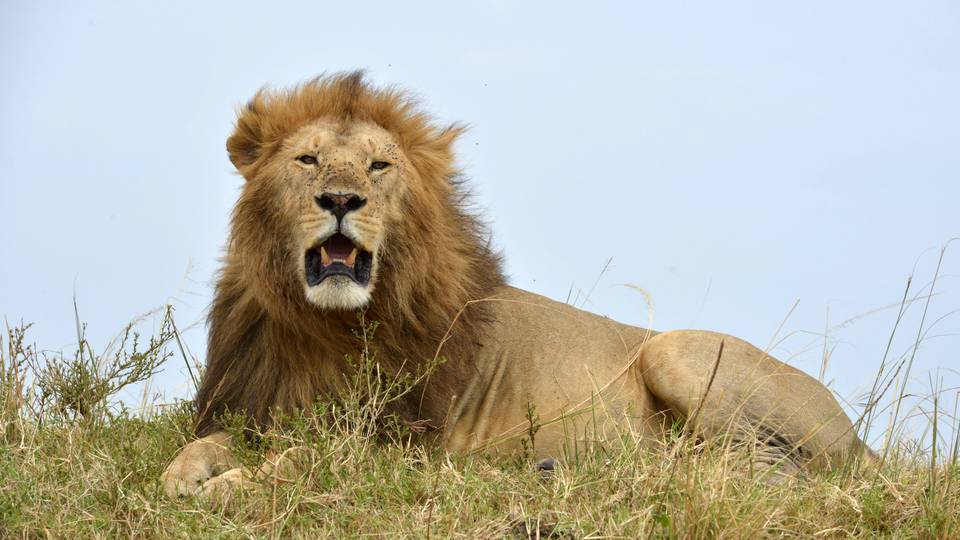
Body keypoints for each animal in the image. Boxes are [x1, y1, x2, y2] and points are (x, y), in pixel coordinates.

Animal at [161, 72, 873, 497]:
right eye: (307, 159)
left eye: (379, 165)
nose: (341, 199)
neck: (324, 324)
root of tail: (862, 440)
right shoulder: (258, 408)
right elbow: (200, 448)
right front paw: (183, 480)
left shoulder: (400, 445)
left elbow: (298, 462)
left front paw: (228, 488)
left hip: (677, 351)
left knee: (770, 469)